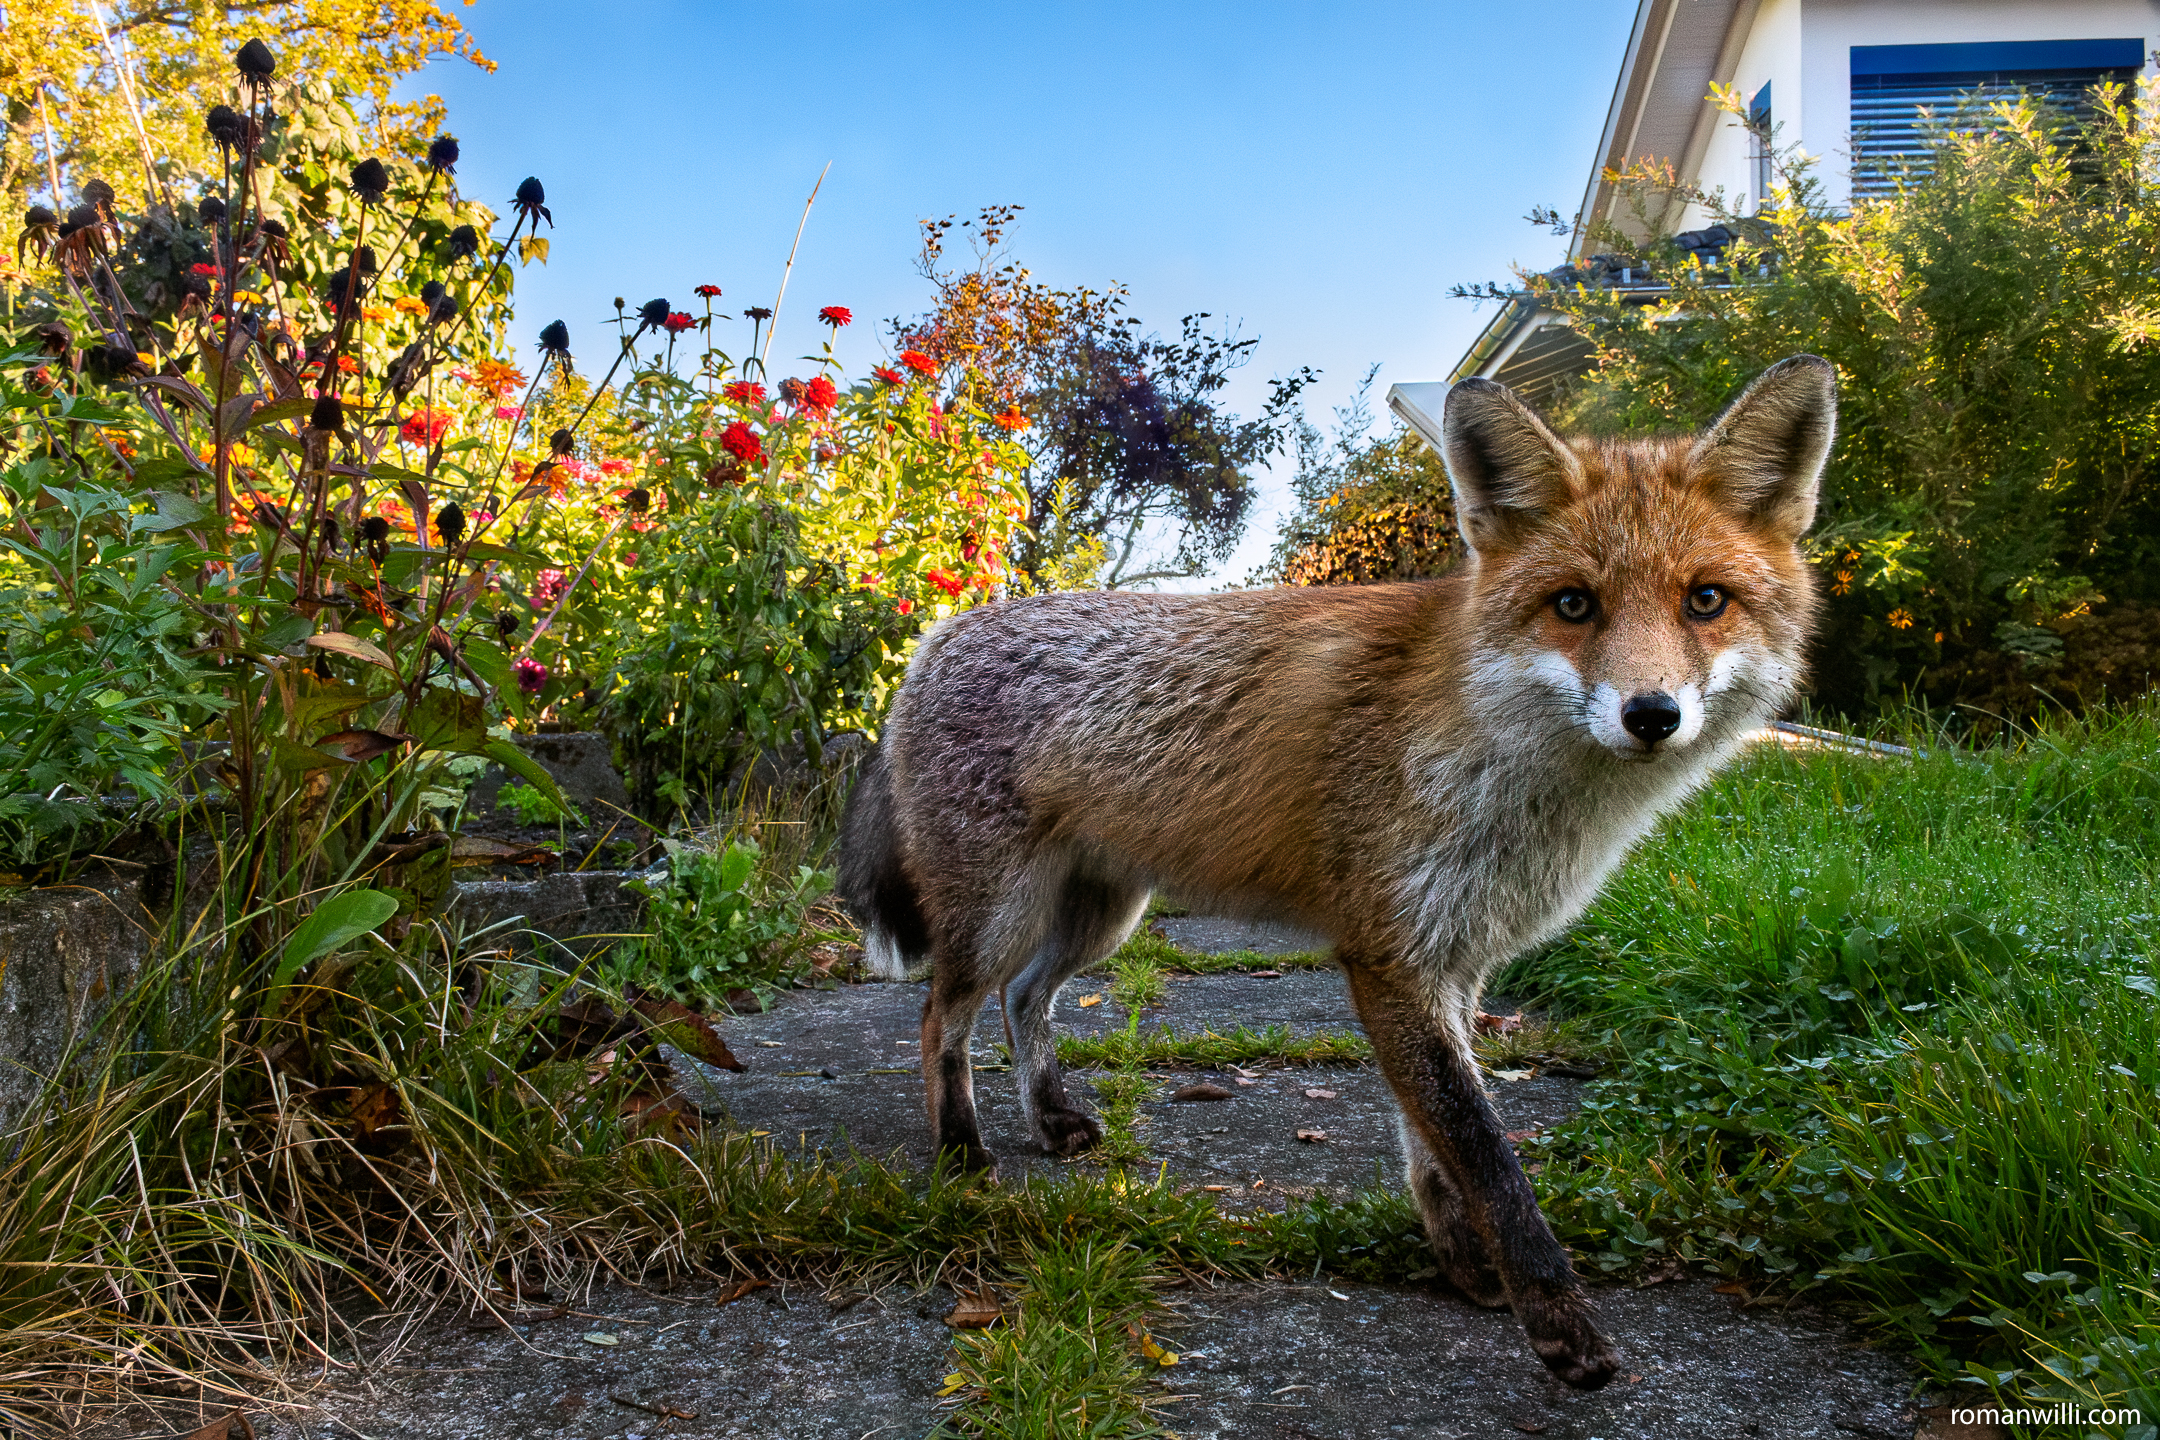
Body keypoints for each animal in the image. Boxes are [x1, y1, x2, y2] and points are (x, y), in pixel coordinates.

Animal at [837, 355, 1835, 1389]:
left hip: (1103, 916)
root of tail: (934, 640)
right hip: (998, 914)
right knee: (939, 1016)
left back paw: (1050, 1117)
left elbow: (1431, 1142)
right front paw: (1558, 1321)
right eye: (1574, 604)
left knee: (1024, 997)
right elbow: (1485, 1154)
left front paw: (1466, 1266)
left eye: (1705, 600)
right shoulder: (1388, 954)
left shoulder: (1454, 960)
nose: (1651, 714)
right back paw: (961, 1150)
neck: (1493, 758)